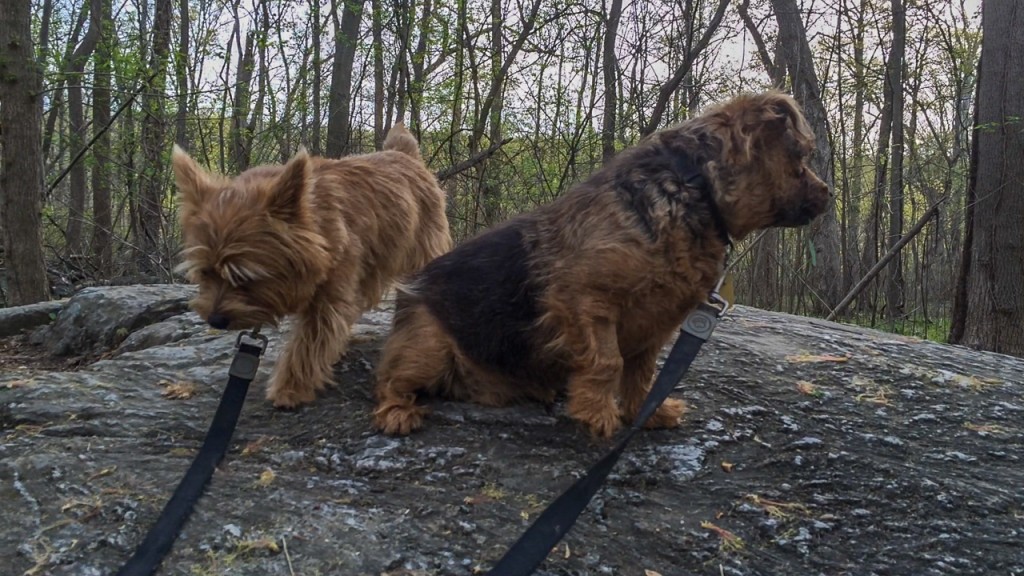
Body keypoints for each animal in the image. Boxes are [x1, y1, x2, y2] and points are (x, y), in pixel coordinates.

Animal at [174, 123, 450, 405]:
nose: (215, 320)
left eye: (244, 277)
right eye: (205, 273)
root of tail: (404, 154)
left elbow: (309, 343)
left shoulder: (328, 300)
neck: (314, 225)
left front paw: (290, 388)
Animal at [374, 93, 831, 434]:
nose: (830, 194)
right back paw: (398, 412)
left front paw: (645, 412)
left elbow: (642, 374)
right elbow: (608, 361)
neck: (694, 188)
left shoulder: (656, 325)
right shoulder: (585, 301)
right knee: (391, 379)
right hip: (427, 346)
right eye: (802, 159)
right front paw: (598, 413)